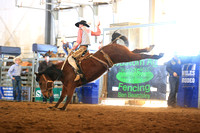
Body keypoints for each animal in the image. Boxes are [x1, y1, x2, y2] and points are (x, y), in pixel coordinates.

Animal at [35, 32, 164, 110]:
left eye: (41, 82)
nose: (45, 95)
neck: (64, 70)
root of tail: (113, 44)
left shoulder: (71, 85)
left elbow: (68, 97)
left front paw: (62, 108)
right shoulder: (66, 86)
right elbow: (62, 97)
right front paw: (54, 106)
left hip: (125, 56)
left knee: (139, 55)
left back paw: (158, 55)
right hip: (126, 54)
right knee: (136, 50)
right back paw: (150, 48)